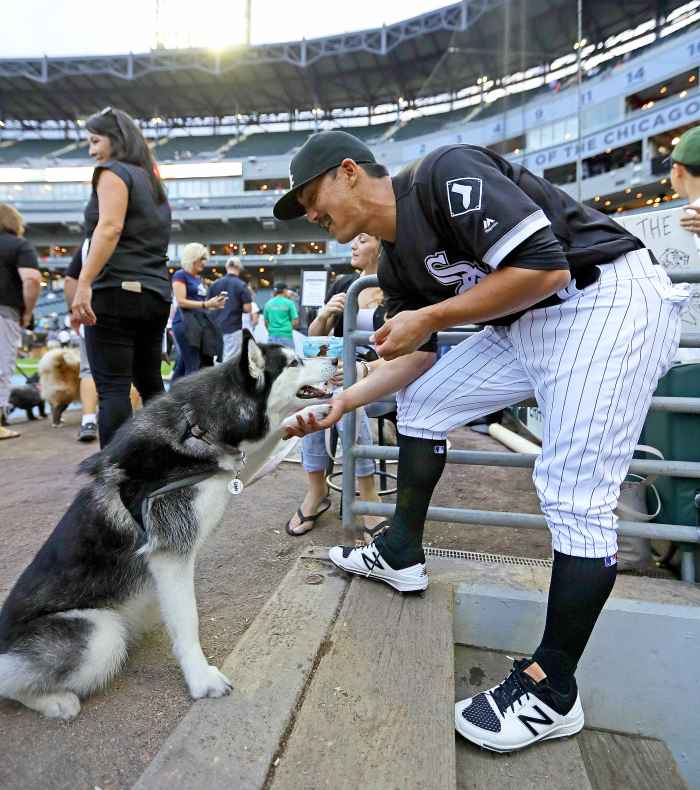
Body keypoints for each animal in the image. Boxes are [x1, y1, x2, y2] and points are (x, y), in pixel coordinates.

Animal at [0, 332, 334, 720]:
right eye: (294, 362)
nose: (335, 358)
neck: (200, 428)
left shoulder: (229, 475)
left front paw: (313, 414)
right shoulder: (170, 554)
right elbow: (188, 622)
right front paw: (200, 678)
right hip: (100, 634)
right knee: (12, 682)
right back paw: (55, 701)